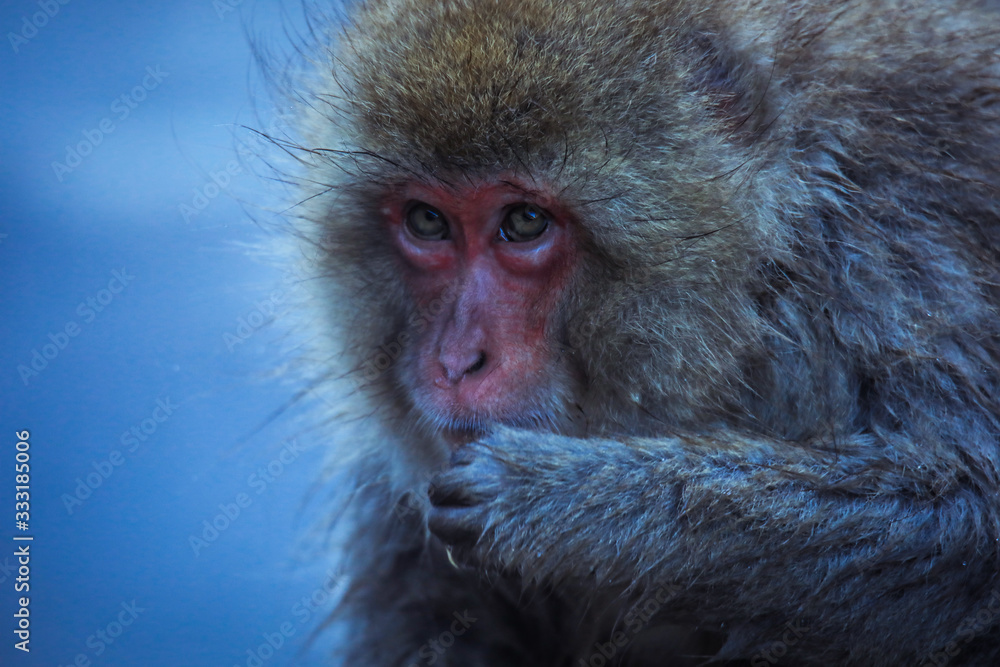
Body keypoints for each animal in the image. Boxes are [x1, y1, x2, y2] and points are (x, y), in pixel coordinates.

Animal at [276, 0, 1000, 664]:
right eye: (428, 222)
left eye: (524, 222)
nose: (456, 362)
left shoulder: (893, 241)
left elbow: (970, 513)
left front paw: (560, 501)